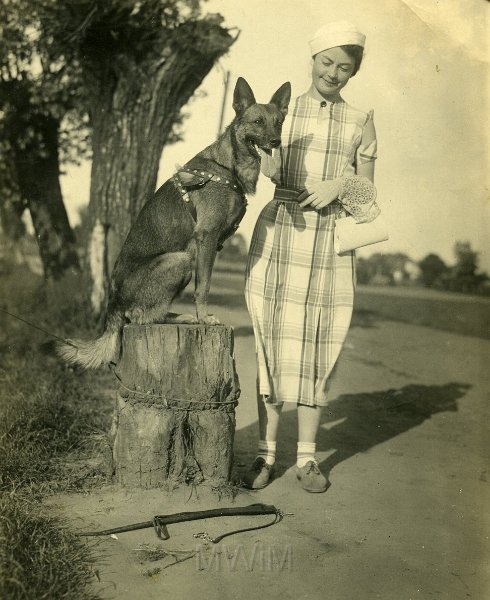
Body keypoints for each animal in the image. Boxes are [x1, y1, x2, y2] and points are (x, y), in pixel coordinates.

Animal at [57, 78, 290, 370]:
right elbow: (203, 287)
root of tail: (113, 305)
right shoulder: (206, 238)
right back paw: (184, 317)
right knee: (140, 316)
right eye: (258, 121)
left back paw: (181, 317)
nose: (276, 141)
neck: (227, 167)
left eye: (279, 122)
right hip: (180, 259)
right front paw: (204, 318)